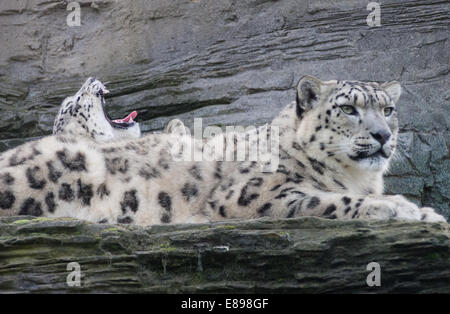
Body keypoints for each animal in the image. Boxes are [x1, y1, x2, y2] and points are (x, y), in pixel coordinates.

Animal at [0, 75, 444, 223]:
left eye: (388, 110)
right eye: (349, 108)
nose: (383, 135)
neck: (359, 177)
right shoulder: (254, 193)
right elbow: (331, 200)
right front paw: (405, 209)